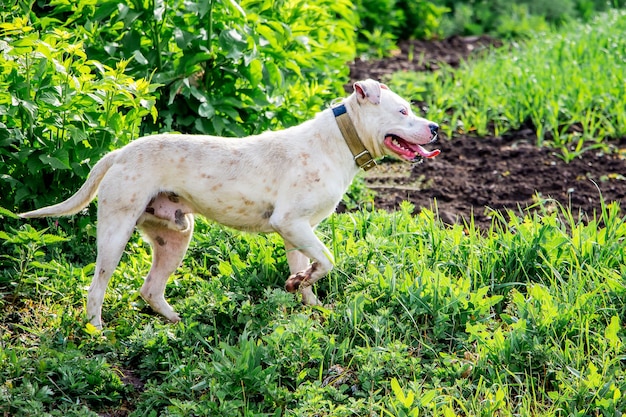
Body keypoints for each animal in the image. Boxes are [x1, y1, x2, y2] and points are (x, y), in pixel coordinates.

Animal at [20, 79, 438, 328]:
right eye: (403, 111)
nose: (434, 128)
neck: (340, 140)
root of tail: (120, 152)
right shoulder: (292, 223)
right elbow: (330, 260)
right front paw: (305, 287)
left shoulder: (296, 233)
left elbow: (311, 269)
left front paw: (308, 299)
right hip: (115, 234)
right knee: (97, 287)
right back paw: (97, 330)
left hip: (175, 236)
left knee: (150, 289)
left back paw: (178, 322)